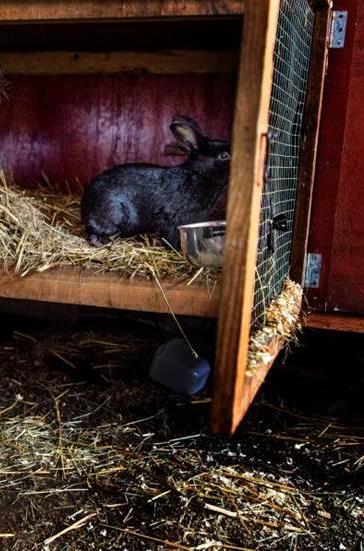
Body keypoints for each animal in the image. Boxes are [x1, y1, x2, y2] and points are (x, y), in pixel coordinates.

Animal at [82, 114, 230, 248]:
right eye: (223, 155)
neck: (199, 175)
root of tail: (85, 205)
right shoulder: (171, 219)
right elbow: (171, 237)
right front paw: (177, 250)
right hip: (111, 217)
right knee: (95, 233)